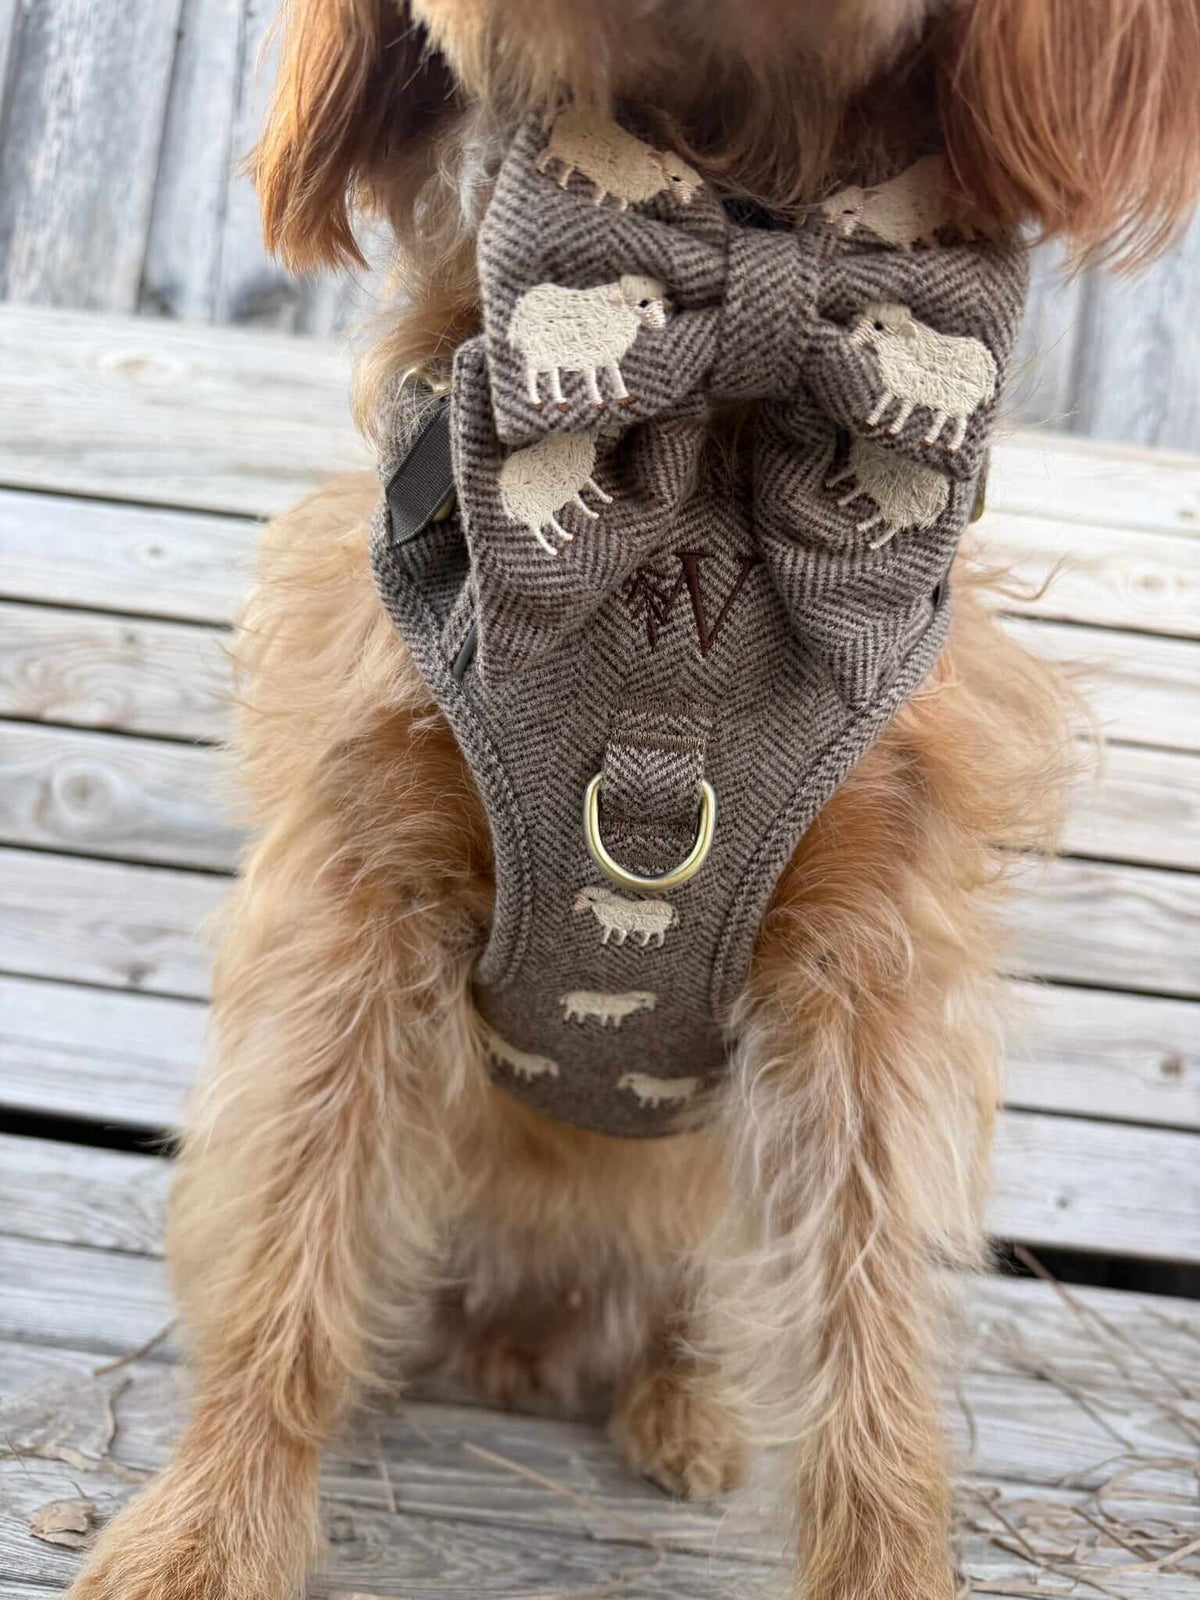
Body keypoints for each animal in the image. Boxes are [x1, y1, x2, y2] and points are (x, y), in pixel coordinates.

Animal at [507, 276, 669, 409]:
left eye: (660, 301)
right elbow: (591, 376)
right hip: (536, 347)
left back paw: (560, 401)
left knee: (552, 371)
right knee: (531, 372)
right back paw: (536, 401)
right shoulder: (589, 350)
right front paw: (598, 402)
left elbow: (614, 372)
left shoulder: (608, 349)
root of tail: (523, 302)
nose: (662, 325)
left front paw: (624, 397)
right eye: (643, 303)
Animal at [536, 109, 703, 210]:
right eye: (676, 178)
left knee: (566, 168)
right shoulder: (608, 179)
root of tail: (566, 112)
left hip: (571, 154)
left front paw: (619, 211)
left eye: (693, 187)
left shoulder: (623, 187)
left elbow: (622, 202)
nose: (687, 202)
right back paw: (541, 169)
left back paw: (562, 184)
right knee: (546, 153)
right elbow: (601, 194)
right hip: (561, 146)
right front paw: (595, 205)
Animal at [848, 302, 997, 452]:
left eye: (878, 326)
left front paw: (893, 429)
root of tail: (988, 361)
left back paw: (952, 447)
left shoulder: (914, 388)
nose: (851, 340)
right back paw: (928, 441)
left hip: (962, 399)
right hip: (950, 398)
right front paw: (870, 422)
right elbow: (883, 402)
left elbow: (905, 409)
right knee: (943, 416)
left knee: (962, 423)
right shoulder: (897, 384)